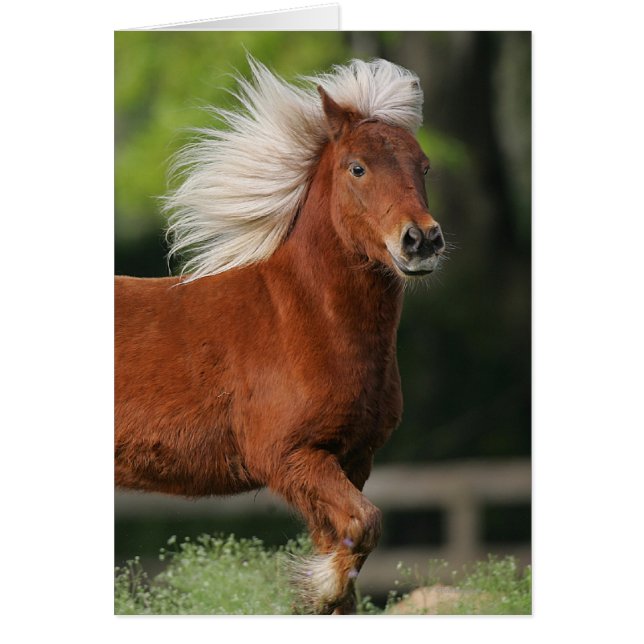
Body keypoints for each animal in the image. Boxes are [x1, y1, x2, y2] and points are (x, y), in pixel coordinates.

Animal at [115, 57, 445, 614]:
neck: (304, 319)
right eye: (356, 167)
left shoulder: (351, 459)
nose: (421, 240)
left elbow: (350, 544)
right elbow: (364, 525)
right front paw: (314, 584)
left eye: (423, 166)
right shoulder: (290, 458)